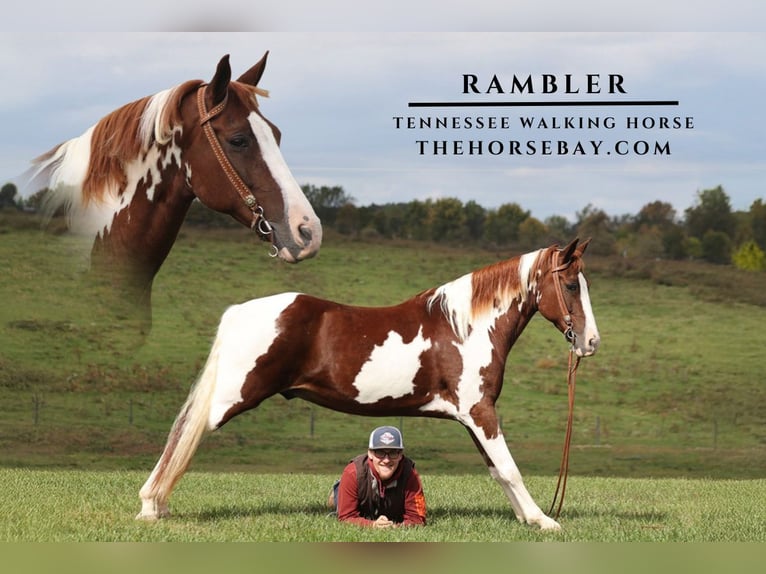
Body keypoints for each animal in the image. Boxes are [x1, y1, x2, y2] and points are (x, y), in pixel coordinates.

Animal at [136, 238, 600, 530]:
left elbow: (498, 471)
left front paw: (525, 517)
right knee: (182, 434)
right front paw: (544, 520)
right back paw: (150, 506)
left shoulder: (472, 417)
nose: (591, 342)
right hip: (230, 398)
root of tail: (238, 312)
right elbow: (509, 468)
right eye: (570, 284)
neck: (465, 328)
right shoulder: (480, 411)